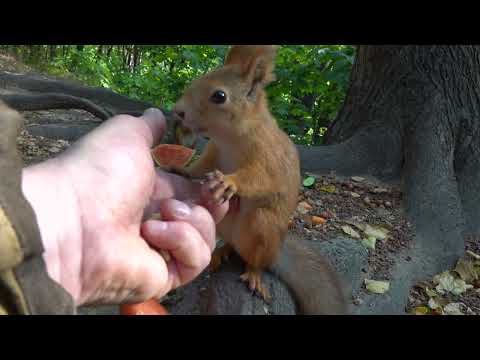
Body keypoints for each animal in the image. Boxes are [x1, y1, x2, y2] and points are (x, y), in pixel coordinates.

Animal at [171, 45, 346, 316]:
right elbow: (201, 167)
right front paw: (181, 170)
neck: (229, 137)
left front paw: (229, 182)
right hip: (225, 224)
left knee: (255, 260)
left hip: (263, 228)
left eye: (219, 96)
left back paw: (253, 275)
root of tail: (277, 252)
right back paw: (220, 251)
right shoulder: (213, 153)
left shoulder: (267, 156)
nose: (178, 111)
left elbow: (260, 177)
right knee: (232, 245)